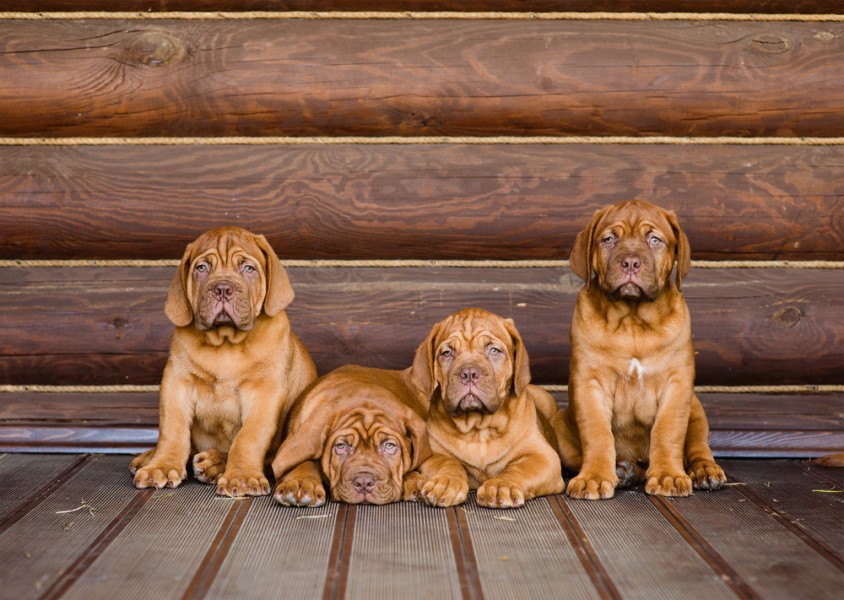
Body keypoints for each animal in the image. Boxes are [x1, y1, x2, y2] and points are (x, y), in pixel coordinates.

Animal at [129, 225, 316, 496]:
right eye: (202, 268)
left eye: (248, 268)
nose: (223, 289)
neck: (225, 342)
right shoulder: (177, 381)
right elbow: (172, 429)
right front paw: (162, 466)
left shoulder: (265, 392)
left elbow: (249, 437)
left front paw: (242, 476)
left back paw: (215, 463)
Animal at [410, 308, 568, 508]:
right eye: (447, 353)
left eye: (493, 350)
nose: (469, 373)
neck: (479, 428)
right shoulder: (430, 455)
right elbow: (447, 462)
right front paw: (446, 482)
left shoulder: (543, 457)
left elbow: (519, 468)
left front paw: (502, 484)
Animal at [552, 199, 724, 500]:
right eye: (608, 239)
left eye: (654, 240)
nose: (630, 262)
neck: (632, 320)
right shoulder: (589, 383)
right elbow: (597, 433)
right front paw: (594, 477)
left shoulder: (676, 384)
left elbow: (667, 430)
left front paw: (668, 476)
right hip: (562, 424)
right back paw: (624, 470)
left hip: (696, 408)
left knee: (698, 445)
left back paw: (705, 470)